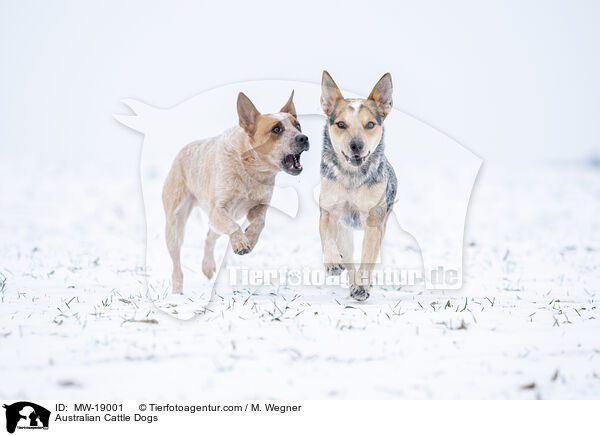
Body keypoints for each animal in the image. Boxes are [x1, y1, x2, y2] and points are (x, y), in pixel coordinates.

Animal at [162, 93, 310, 294]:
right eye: (276, 129)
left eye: (298, 125)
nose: (304, 138)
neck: (251, 170)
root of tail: (182, 152)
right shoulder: (218, 209)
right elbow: (233, 226)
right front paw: (241, 243)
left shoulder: (261, 204)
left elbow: (260, 222)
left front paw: (251, 239)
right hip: (175, 223)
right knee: (176, 262)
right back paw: (177, 291)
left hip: (213, 224)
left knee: (209, 236)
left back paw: (208, 267)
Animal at [318, 72, 398, 304]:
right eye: (341, 124)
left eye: (370, 124)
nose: (356, 145)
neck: (351, 178)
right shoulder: (329, 211)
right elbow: (327, 237)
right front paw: (332, 262)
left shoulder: (373, 219)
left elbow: (367, 257)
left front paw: (363, 285)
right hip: (345, 232)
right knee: (348, 257)